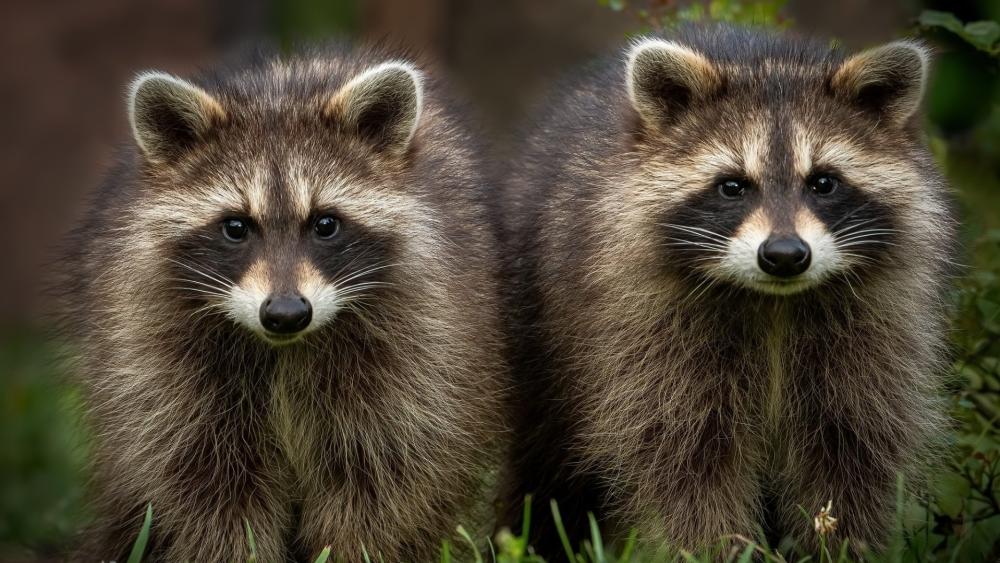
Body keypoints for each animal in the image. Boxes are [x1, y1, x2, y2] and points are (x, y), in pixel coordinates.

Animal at [56, 45, 505, 562]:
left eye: (325, 224)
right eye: (235, 227)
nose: (286, 314)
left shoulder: (421, 343)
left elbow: (385, 477)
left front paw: (352, 550)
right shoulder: (158, 356)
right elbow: (203, 482)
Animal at [500, 27, 955, 557]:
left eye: (823, 182)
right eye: (732, 186)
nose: (785, 255)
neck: (776, 302)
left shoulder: (875, 333)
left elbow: (852, 447)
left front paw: (839, 545)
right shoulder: (645, 333)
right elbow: (686, 457)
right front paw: (716, 548)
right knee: (545, 468)